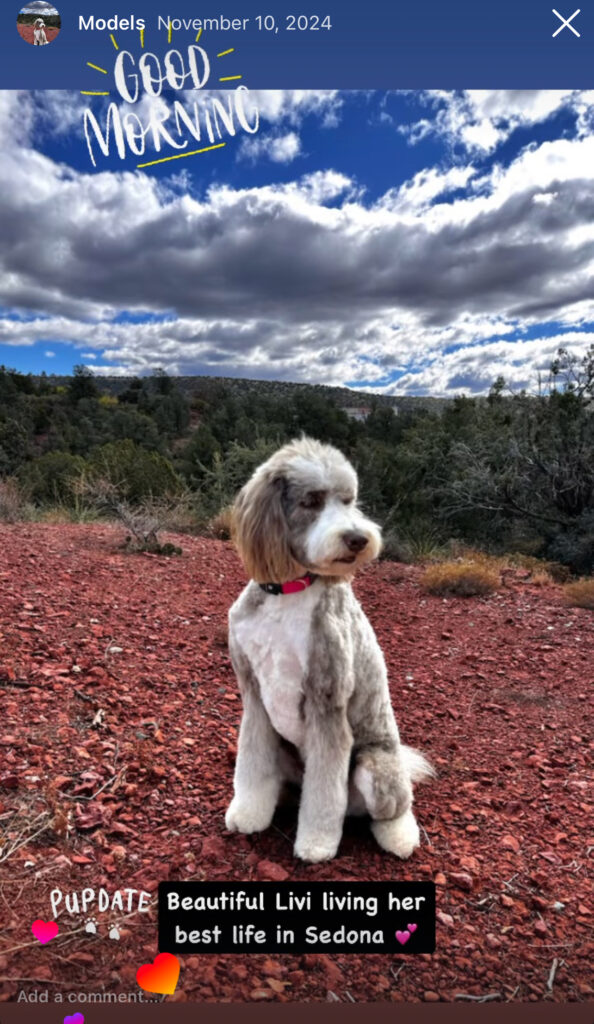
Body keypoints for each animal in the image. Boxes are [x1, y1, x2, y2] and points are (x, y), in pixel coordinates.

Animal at [225, 436, 434, 860]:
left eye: (349, 500)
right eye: (312, 500)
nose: (358, 539)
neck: (289, 591)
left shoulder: (327, 702)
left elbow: (323, 794)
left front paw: (317, 844)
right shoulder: (253, 695)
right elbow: (252, 764)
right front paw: (248, 814)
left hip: (375, 764)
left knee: (392, 807)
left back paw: (400, 837)